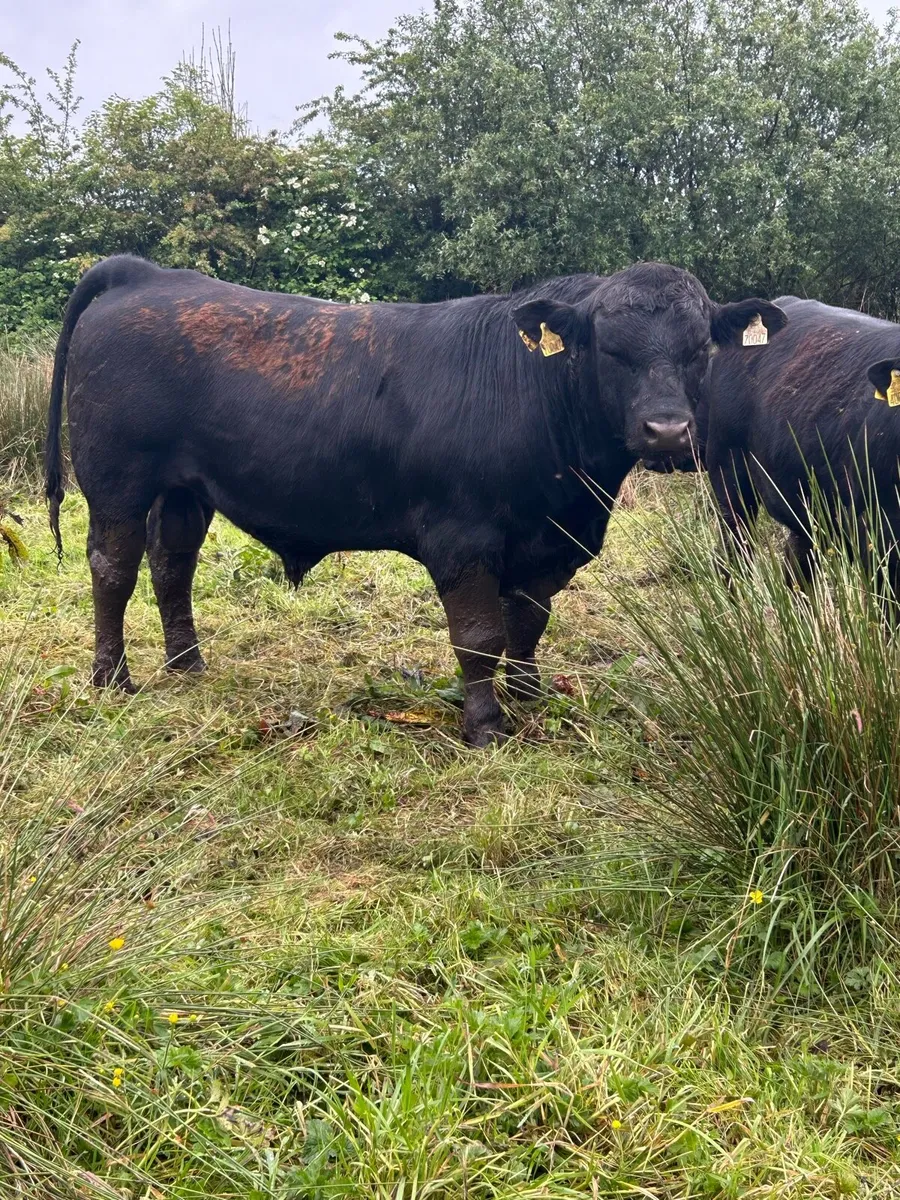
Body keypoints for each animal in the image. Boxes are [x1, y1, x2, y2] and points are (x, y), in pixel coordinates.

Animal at [44, 255, 786, 745]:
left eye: (699, 347)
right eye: (610, 348)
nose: (668, 431)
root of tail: (144, 273)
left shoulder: (547, 541)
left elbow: (529, 621)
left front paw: (527, 696)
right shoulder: (463, 538)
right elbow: (480, 636)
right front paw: (486, 725)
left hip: (184, 490)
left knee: (172, 566)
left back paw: (188, 666)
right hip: (116, 481)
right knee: (112, 569)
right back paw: (112, 679)